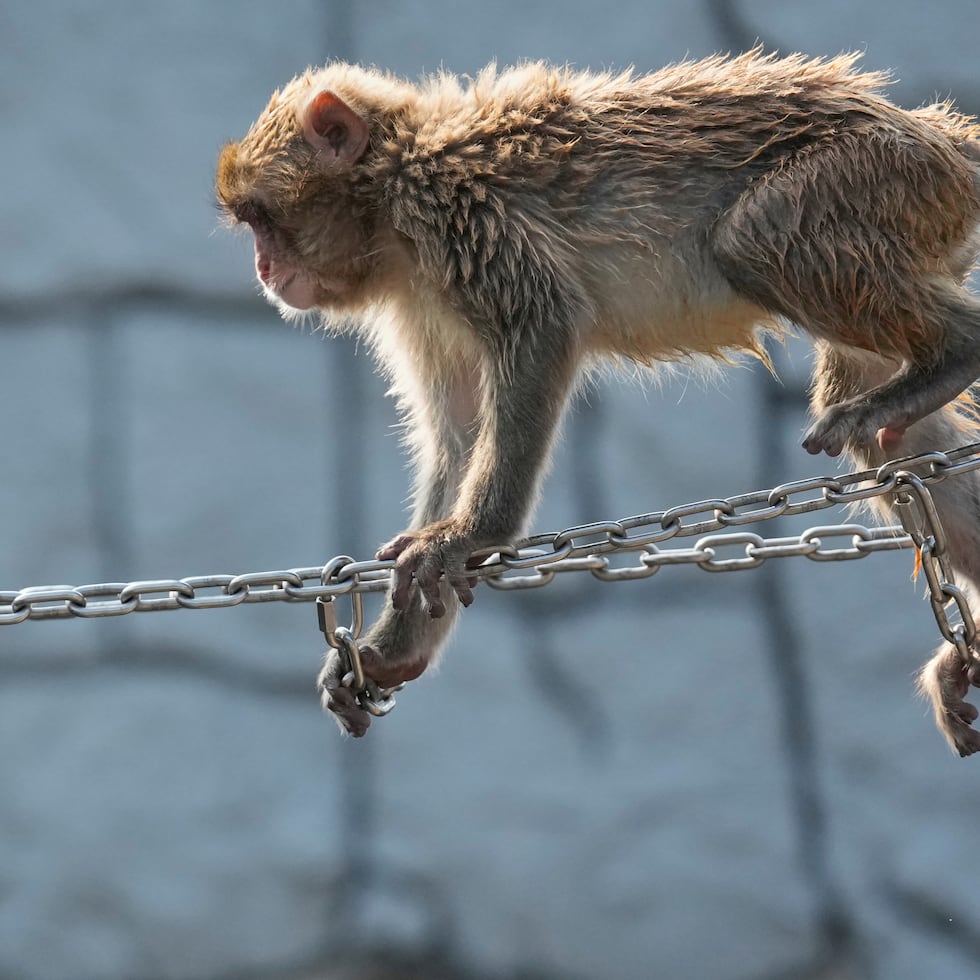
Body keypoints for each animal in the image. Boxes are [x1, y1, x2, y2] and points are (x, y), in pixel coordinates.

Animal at [216, 50, 980, 752]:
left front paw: (472, 536)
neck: (392, 192)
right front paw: (392, 649)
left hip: (866, 176)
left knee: (753, 237)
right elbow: (458, 435)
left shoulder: (457, 212)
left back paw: (956, 351)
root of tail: (936, 135)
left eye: (262, 218)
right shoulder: (419, 300)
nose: (263, 268)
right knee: (885, 431)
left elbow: (541, 326)